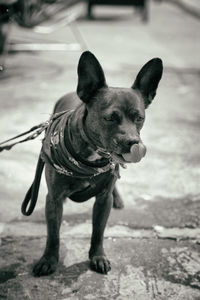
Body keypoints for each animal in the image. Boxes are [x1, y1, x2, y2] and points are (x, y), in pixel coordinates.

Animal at [31, 51, 162, 276]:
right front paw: (48, 259)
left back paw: (118, 198)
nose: (133, 142)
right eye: (110, 118)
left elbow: (98, 232)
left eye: (139, 118)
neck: (92, 157)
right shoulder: (53, 200)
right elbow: (53, 234)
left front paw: (97, 256)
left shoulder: (103, 200)